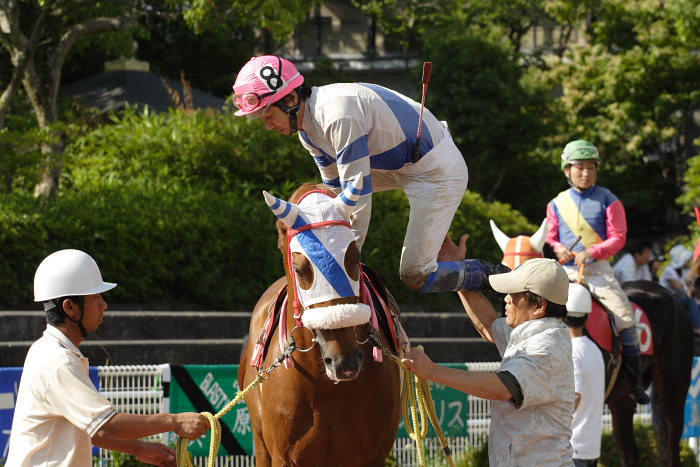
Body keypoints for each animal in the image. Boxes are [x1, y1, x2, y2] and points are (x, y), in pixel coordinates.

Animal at [239, 181, 402, 466]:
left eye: (354, 258)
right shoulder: (283, 456)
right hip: (261, 442)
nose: (344, 361)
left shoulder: (373, 455)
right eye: (300, 269)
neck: (326, 390)